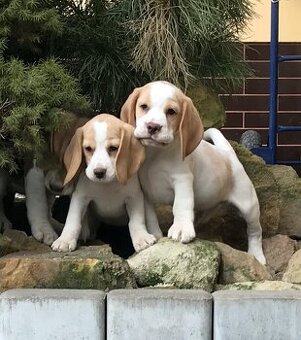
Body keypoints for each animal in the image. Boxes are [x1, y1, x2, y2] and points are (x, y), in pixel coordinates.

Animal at [50, 114, 156, 252]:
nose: (99, 172)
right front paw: (65, 240)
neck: (107, 185)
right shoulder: (80, 197)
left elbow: (136, 221)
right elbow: (73, 221)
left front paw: (141, 238)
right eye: (88, 149)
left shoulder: (134, 197)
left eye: (113, 148)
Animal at [119, 81, 264, 264]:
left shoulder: (182, 180)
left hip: (249, 206)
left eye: (171, 111)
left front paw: (181, 227)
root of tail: (228, 154)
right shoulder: (144, 191)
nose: (152, 127)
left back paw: (257, 254)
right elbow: (150, 216)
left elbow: (180, 205)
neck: (156, 155)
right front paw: (156, 236)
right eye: (143, 106)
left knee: (255, 231)